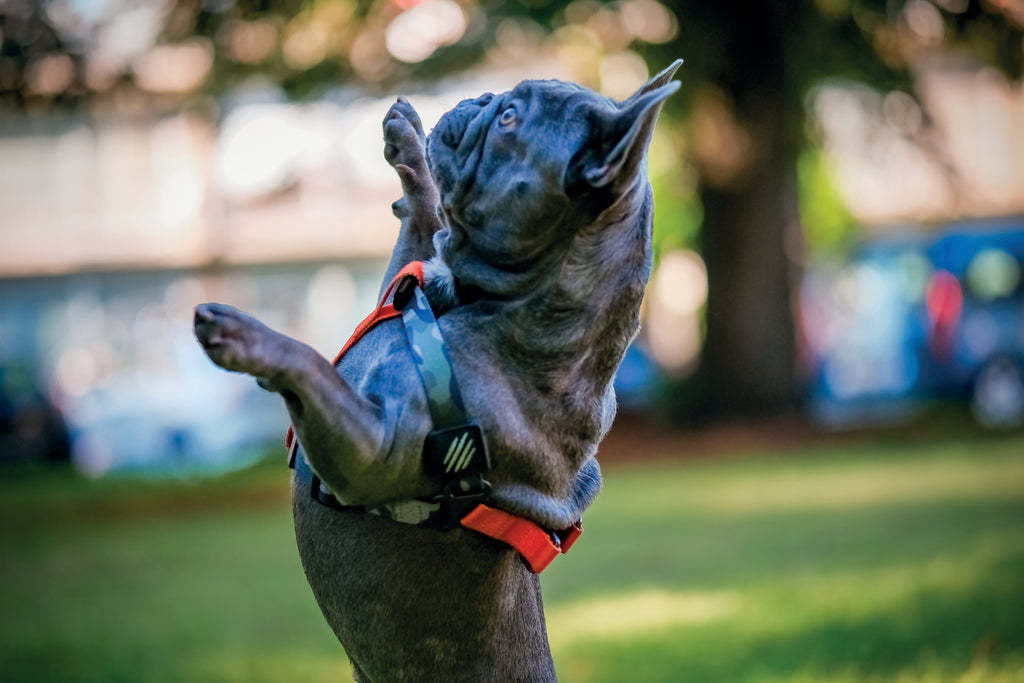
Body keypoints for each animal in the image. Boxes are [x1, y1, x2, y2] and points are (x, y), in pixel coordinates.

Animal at [195, 61, 684, 679]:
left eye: (509, 119)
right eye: (504, 101)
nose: (482, 96)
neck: (484, 302)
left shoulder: (370, 451)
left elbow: (309, 363)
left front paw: (249, 339)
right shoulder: (402, 275)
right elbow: (424, 222)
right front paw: (406, 142)